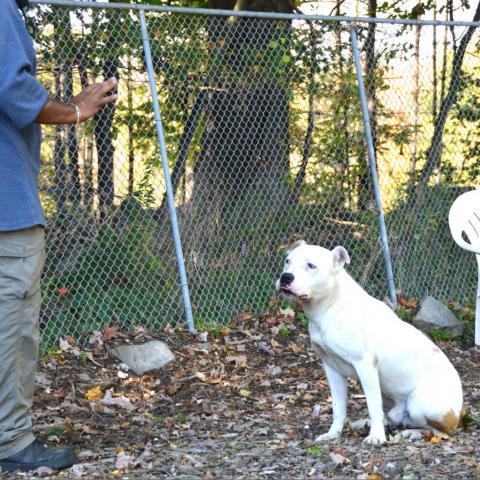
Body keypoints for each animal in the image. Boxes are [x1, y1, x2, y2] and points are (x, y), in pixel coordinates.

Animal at [276, 242, 464, 444]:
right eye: (287, 261)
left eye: (311, 265)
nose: (285, 276)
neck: (330, 308)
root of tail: (460, 412)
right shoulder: (332, 368)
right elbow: (338, 408)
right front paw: (333, 433)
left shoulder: (365, 365)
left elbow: (373, 406)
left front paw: (376, 437)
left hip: (420, 401)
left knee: (440, 432)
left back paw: (412, 433)